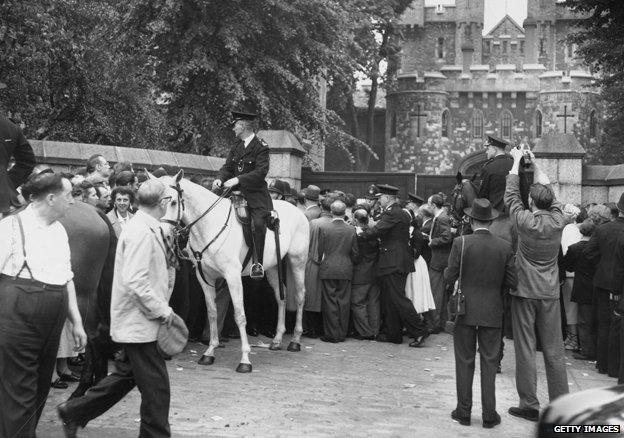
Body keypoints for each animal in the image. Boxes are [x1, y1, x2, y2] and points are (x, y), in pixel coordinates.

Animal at [156, 171, 310, 372]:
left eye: (173, 202)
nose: (163, 232)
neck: (209, 224)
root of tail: (298, 211)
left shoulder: (232, 276)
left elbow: (239, 315)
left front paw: (245, 359)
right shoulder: (205, 277)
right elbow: (212, 312)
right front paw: (209, 352)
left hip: (297, 261)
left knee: (300, 296)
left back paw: (295, 340)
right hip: (272, 268)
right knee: (280, 295)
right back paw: (277, 339)